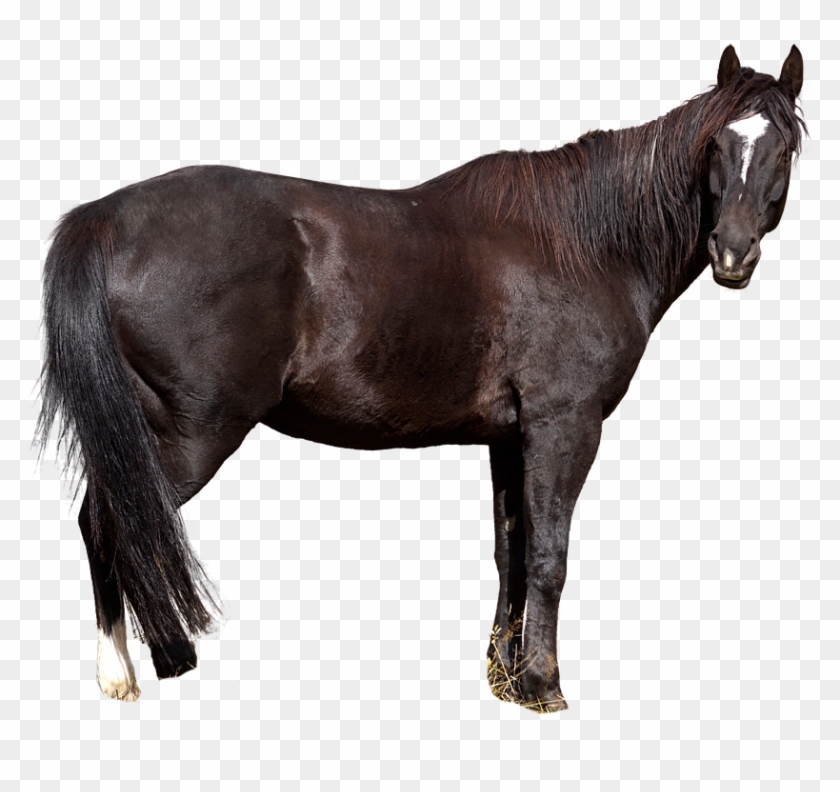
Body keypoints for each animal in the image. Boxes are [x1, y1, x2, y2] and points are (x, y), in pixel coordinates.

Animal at [38, 45, 805, 711]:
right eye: (716, 146)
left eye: (785, 148)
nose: (732, 253)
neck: (586, 243)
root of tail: (102, 220)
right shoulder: (564, 425)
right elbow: (549, 554)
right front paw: (543, 686)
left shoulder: (510, 436)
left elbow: (510, 551)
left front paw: (504, 677)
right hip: (193, 432)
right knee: (114, 521)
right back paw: (125, 672)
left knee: (111, 523)